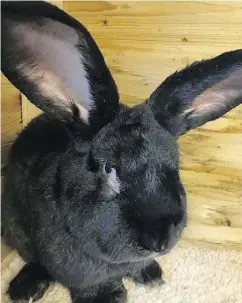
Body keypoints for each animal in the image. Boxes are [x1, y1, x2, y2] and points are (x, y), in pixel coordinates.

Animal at [0, 0, 241, 302]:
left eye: (174, 166)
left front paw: (151, 276)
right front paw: (109, 297)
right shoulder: (76, 273)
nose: (159, 241)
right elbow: (89, 285)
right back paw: (25, 289)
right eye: (109, 169)